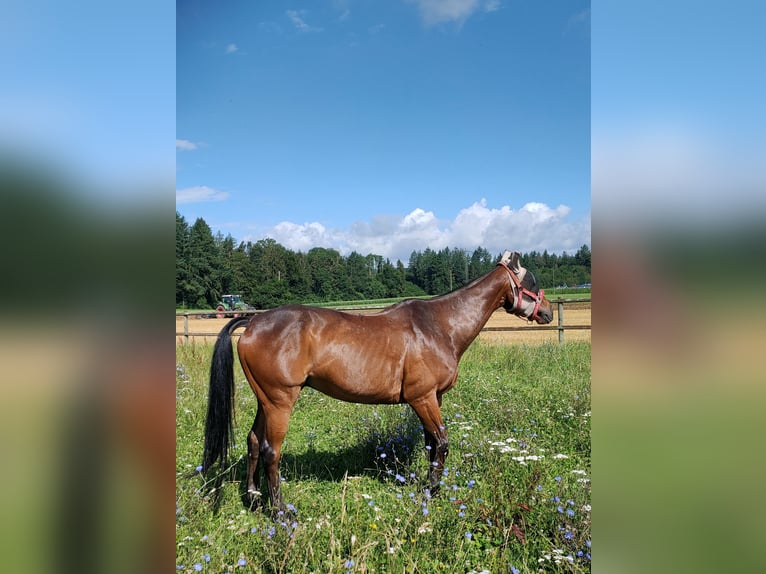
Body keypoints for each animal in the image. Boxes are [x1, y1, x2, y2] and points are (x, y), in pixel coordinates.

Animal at [202, 250, 552, 510]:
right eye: (532, 280)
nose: (547, 312)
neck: (439, 325)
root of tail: (254, 321)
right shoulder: (422, 398)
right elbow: (442, 442)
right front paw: (430, 493)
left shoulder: (433, 398)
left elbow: (430, 445)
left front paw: (431, 488)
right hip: (280, 401)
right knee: (270, 452)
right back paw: (279, 513)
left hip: (265, 400)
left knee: (253, 442)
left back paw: (253, 497)